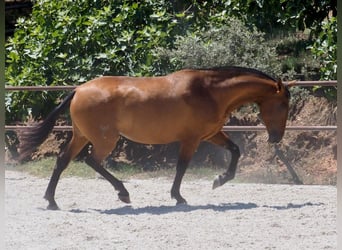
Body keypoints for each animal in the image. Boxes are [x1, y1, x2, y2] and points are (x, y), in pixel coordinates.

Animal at [19, 66, 292, 209]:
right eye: (283, 104)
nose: (276, 137)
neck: (210, 91)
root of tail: (78, 90)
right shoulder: (192, 139)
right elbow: (182, 167)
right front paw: (179, 197)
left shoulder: (211, 134)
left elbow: (235, 150)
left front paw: (220, 180)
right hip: (105, 139)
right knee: (91, 161)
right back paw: (123, 193)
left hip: (82, 135)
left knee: (62, 161)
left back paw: (51, 201)